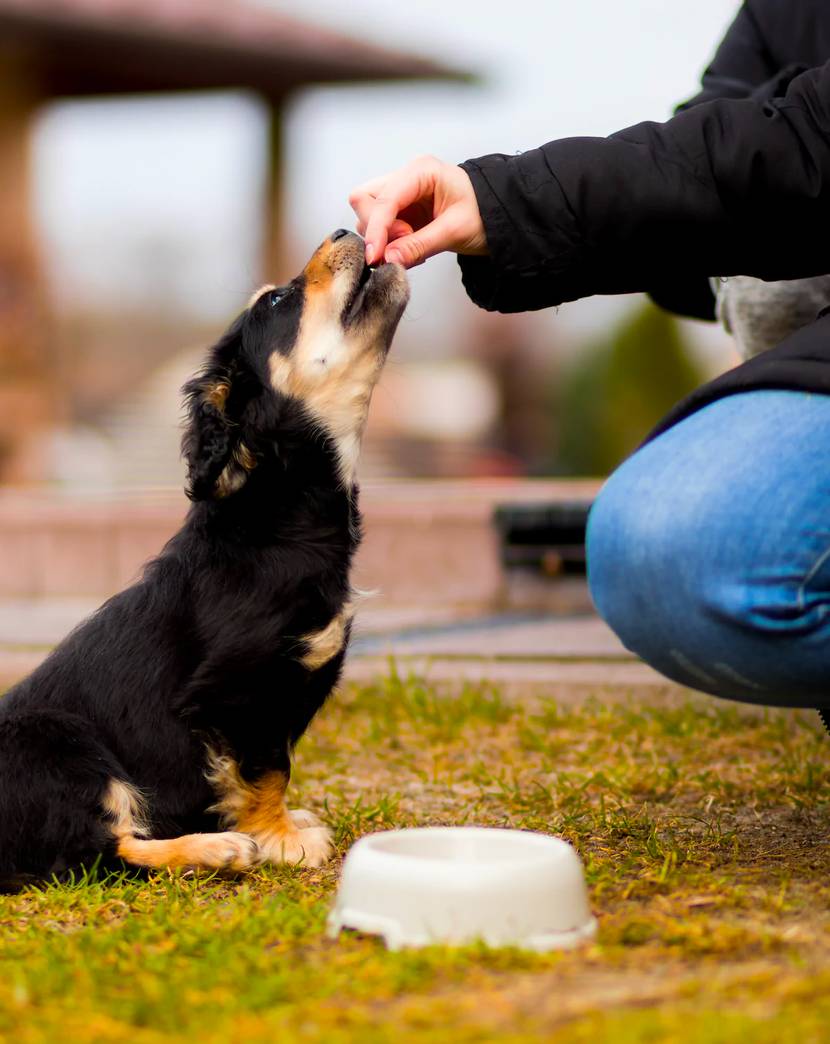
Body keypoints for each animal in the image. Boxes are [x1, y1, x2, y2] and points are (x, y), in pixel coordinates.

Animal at [0, 228, 409, 889]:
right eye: (276, 302)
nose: (347, 230)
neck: (277, 512)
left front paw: (283, 826)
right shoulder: (235, 693)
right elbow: (267, 769)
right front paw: (278, 838)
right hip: (63, 747)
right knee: (95, 854)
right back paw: (215, 849)